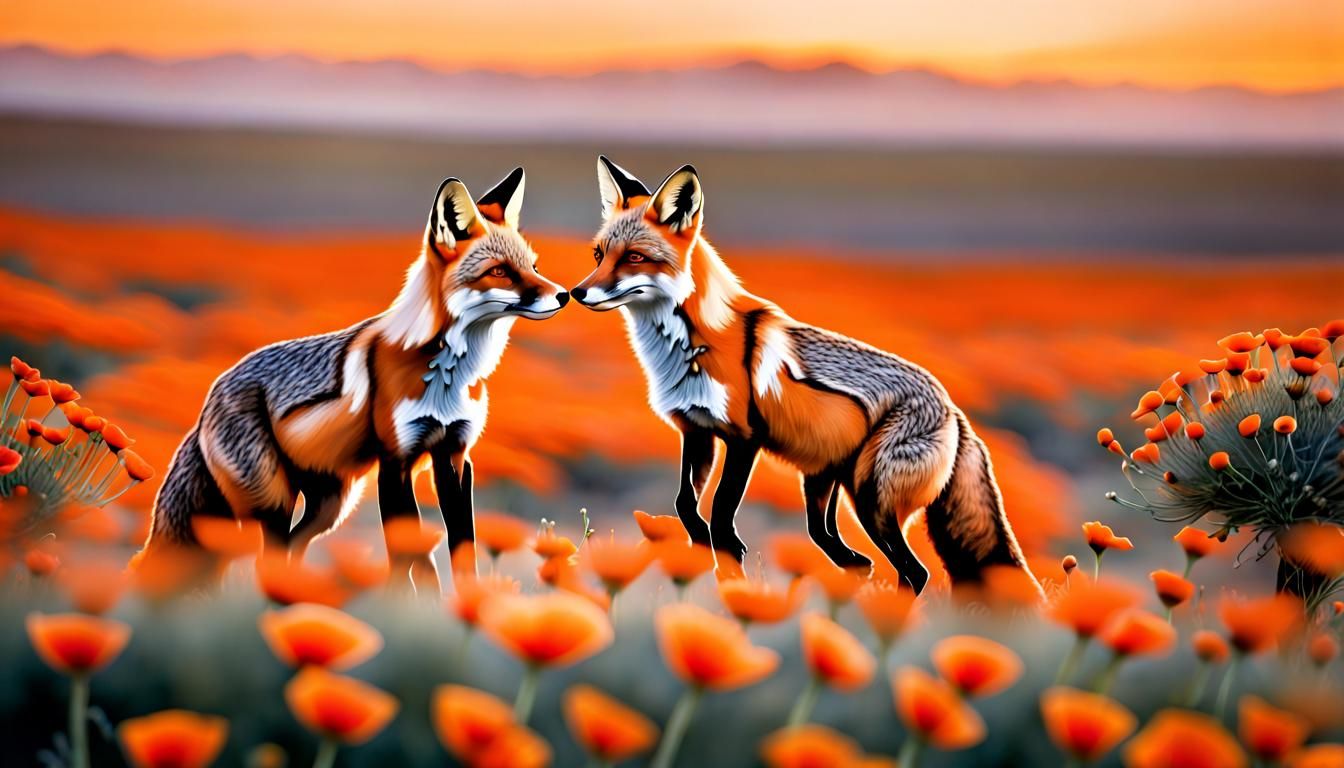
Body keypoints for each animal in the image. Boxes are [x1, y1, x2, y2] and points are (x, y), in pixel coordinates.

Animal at [138, 168, 568, 589]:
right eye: (499, 272)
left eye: (533, 266)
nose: (564, 295)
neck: (448, 376)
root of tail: (209, 398)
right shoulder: (396, 459)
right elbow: (409, 558)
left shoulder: (455, 456)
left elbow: (461, 549)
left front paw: (466, 601)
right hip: (274, 501)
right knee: (266, 558)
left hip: (331, 505)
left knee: (292, 548)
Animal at [571, 157, 1037, 594]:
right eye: (599, 255)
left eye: (634, 257)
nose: (577, 292)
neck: (686, 348)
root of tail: (953, 407)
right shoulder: (697, 430)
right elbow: (686, 503)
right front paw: (702, 550)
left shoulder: (744, 439)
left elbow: (721, 514)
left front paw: (729, 568)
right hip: (824, 486)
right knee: (850, 555)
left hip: (871, 501)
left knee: (914, 571)